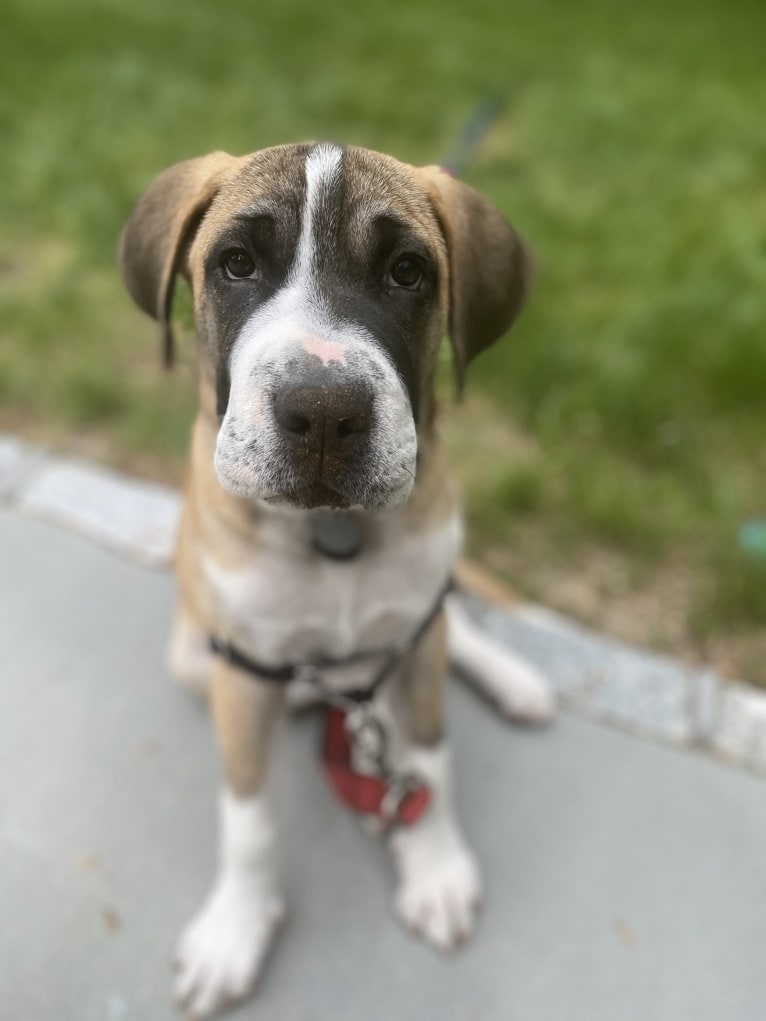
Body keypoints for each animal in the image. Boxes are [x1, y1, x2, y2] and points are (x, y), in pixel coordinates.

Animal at [118, 143, 551, 1021]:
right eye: (236, 264)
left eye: (409, 272)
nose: (322, 412)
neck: (334, 534)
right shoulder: (242, 670)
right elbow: (248, 817)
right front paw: (235, 929)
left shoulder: (416, 649)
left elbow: (430, 759)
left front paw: (435, 865)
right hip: (198, 659)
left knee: (454, 627)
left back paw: (510, 678)